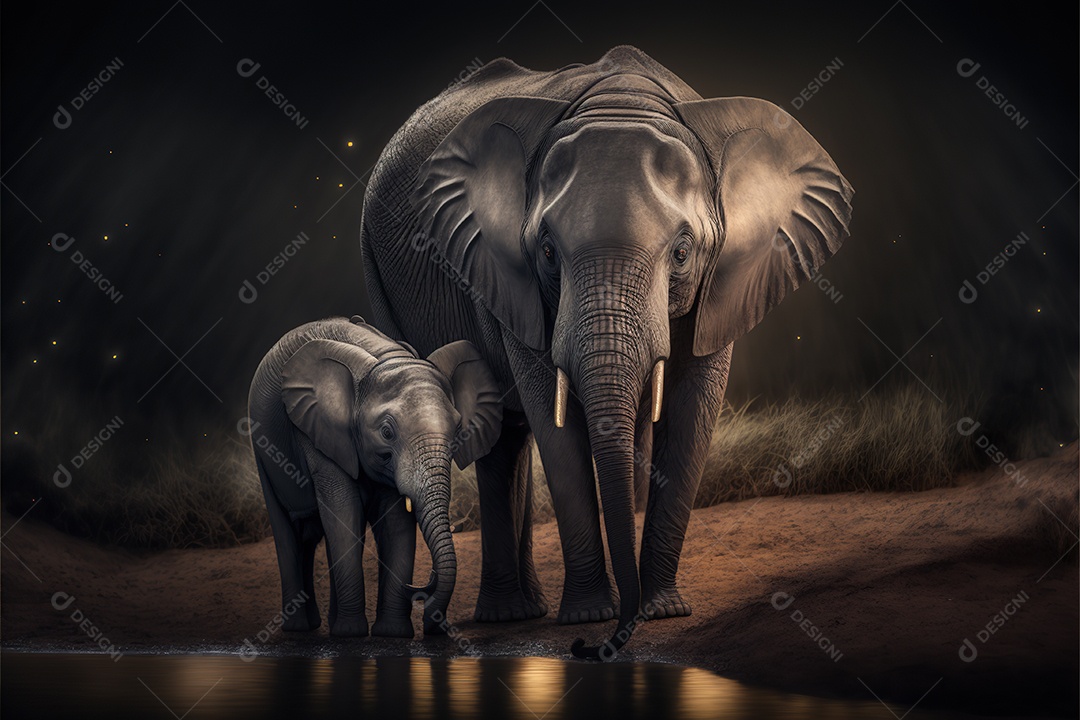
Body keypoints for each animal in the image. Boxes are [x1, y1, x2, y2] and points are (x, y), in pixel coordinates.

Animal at [248, 316, 503, 637]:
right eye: (386, 432)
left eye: (458, 429)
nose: (419, 588)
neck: (387, 359)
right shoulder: (313, 432)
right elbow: (344, 512)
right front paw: (352, 635)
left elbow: (395, 521)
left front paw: (392, 634)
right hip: (263, 451)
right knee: (289, 534)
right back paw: (301, 629)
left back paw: (324, 624)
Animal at [359, 46, 853, 658]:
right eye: (548, 252)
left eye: (683, 252)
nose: (592, 648)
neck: (623, 99)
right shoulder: (510, 277)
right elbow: (556, 425)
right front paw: (589, 615)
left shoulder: (725, 284)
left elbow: (692, 412)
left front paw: (664, 611)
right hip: (378, 271)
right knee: (504, 438)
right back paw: (511, 615)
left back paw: (523, 611)